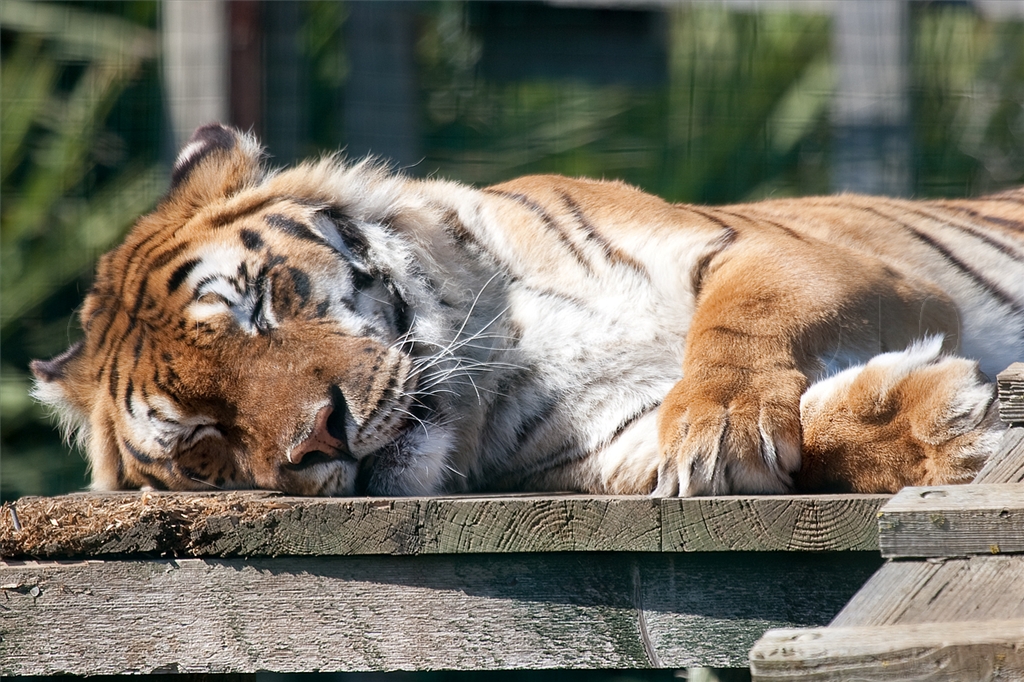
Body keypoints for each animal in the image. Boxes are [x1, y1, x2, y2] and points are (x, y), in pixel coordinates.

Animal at [30, 123, 1024, 497]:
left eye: (264, 303)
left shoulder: (768, 250)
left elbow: (738, 327)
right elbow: (816, 436)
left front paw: (721, 421)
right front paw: (952, 424)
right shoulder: (615, 435)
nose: (323, 436)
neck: (501, 349)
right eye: (203, 445)